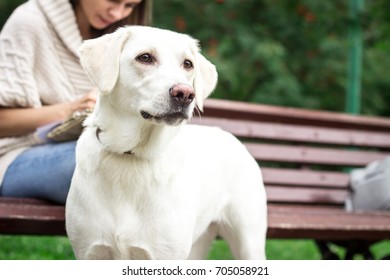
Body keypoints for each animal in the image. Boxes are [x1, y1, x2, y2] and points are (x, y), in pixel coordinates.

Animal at [66, 26, 268, 260]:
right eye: (145, 57)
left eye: (188, 64)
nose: (185, 94)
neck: (130, 154)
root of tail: (230, 135)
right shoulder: (89, 251)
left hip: (248, 242)